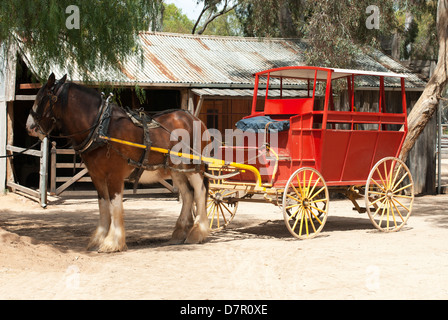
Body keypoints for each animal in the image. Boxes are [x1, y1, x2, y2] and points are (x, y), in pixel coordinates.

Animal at [25, 74, 211, 254]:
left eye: (45, 97)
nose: (29, 127)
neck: (102, 128)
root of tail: (194, 119)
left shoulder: (114, 176)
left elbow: (115, 206)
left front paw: (113, 242)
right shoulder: (97, 176)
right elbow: (103, 205)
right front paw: (98, 240)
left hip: (193, 168)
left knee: (200, 192)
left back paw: (198, 232)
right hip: (177, 171)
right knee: (188, 194)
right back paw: (180, 233)